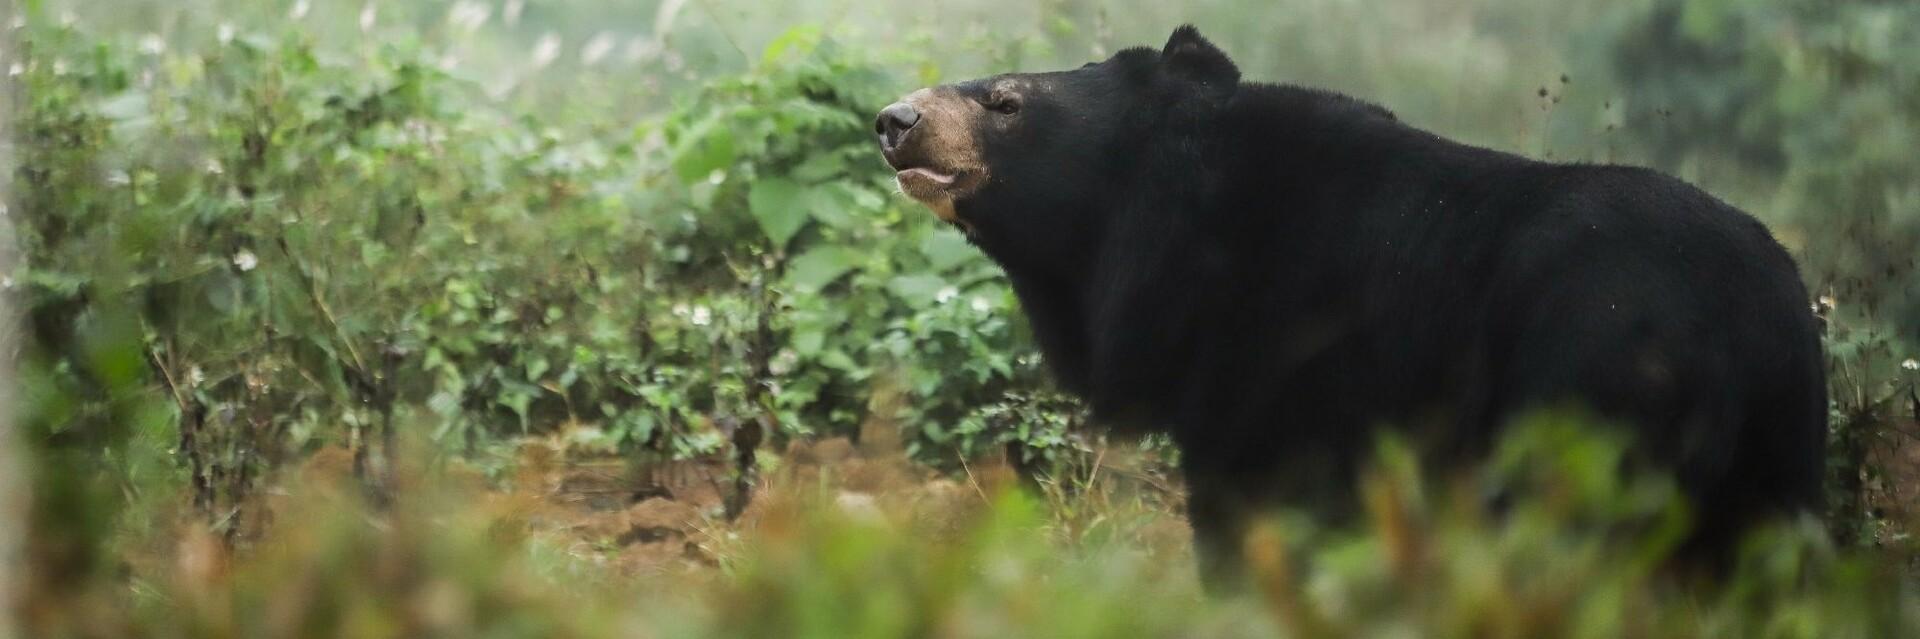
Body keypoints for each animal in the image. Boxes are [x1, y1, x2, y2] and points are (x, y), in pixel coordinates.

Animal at [874, 25, 1827, 589]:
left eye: (1005, 101)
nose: (893, 119)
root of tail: (1750, 320)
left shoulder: (1280, 372)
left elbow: (1259, 518)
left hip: (1593, 399)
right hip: (1776, 462)